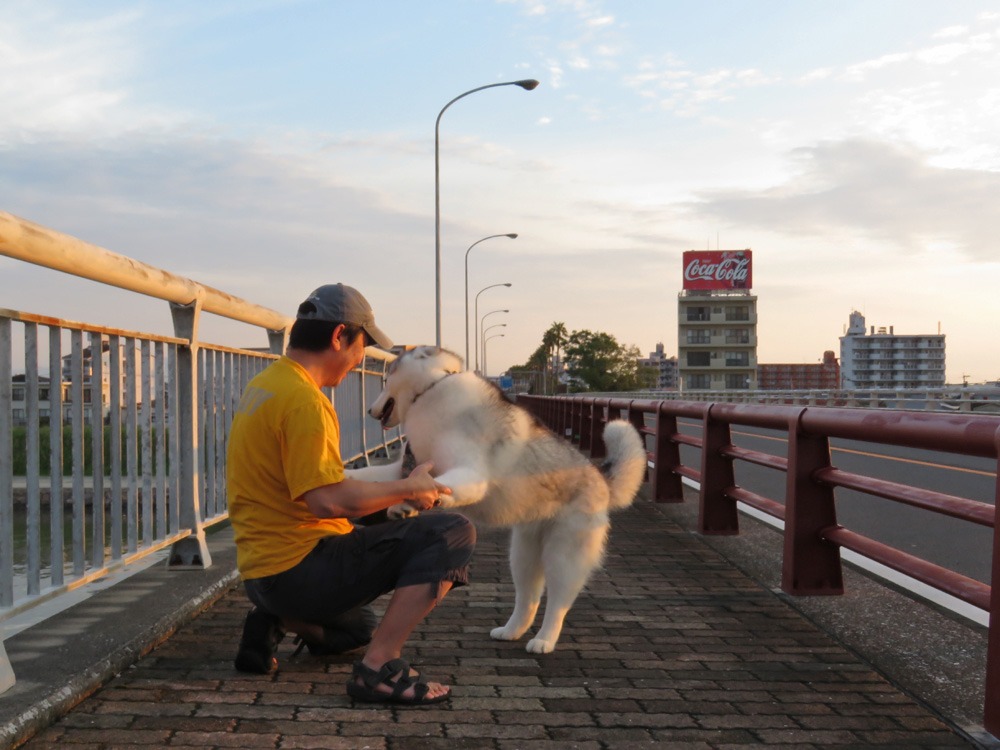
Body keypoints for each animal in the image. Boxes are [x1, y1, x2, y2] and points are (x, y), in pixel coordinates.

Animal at [370, 346, 648, 652]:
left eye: (385, 380)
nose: (370, 411)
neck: (431, 388)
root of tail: (600, 479)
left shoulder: (471, 472)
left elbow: (445, 484)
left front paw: (426, 500)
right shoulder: (406, 468)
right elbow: (387, 480)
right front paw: (402, 504)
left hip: (564, 556)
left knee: (558, 603)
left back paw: (544, 640)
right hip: (523, 553)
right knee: (528, 597)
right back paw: (512, 630)